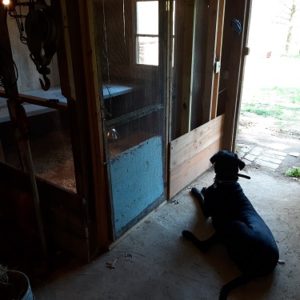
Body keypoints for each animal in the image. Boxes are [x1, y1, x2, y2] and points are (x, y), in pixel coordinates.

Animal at [183, 150, 278, 300]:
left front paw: (196, 190)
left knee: (204, 246)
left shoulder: (206, 210)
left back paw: (188, 234)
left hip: (232, 225)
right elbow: (205, 191)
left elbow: (201, 197)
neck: (227, 182)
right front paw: (203, 188)